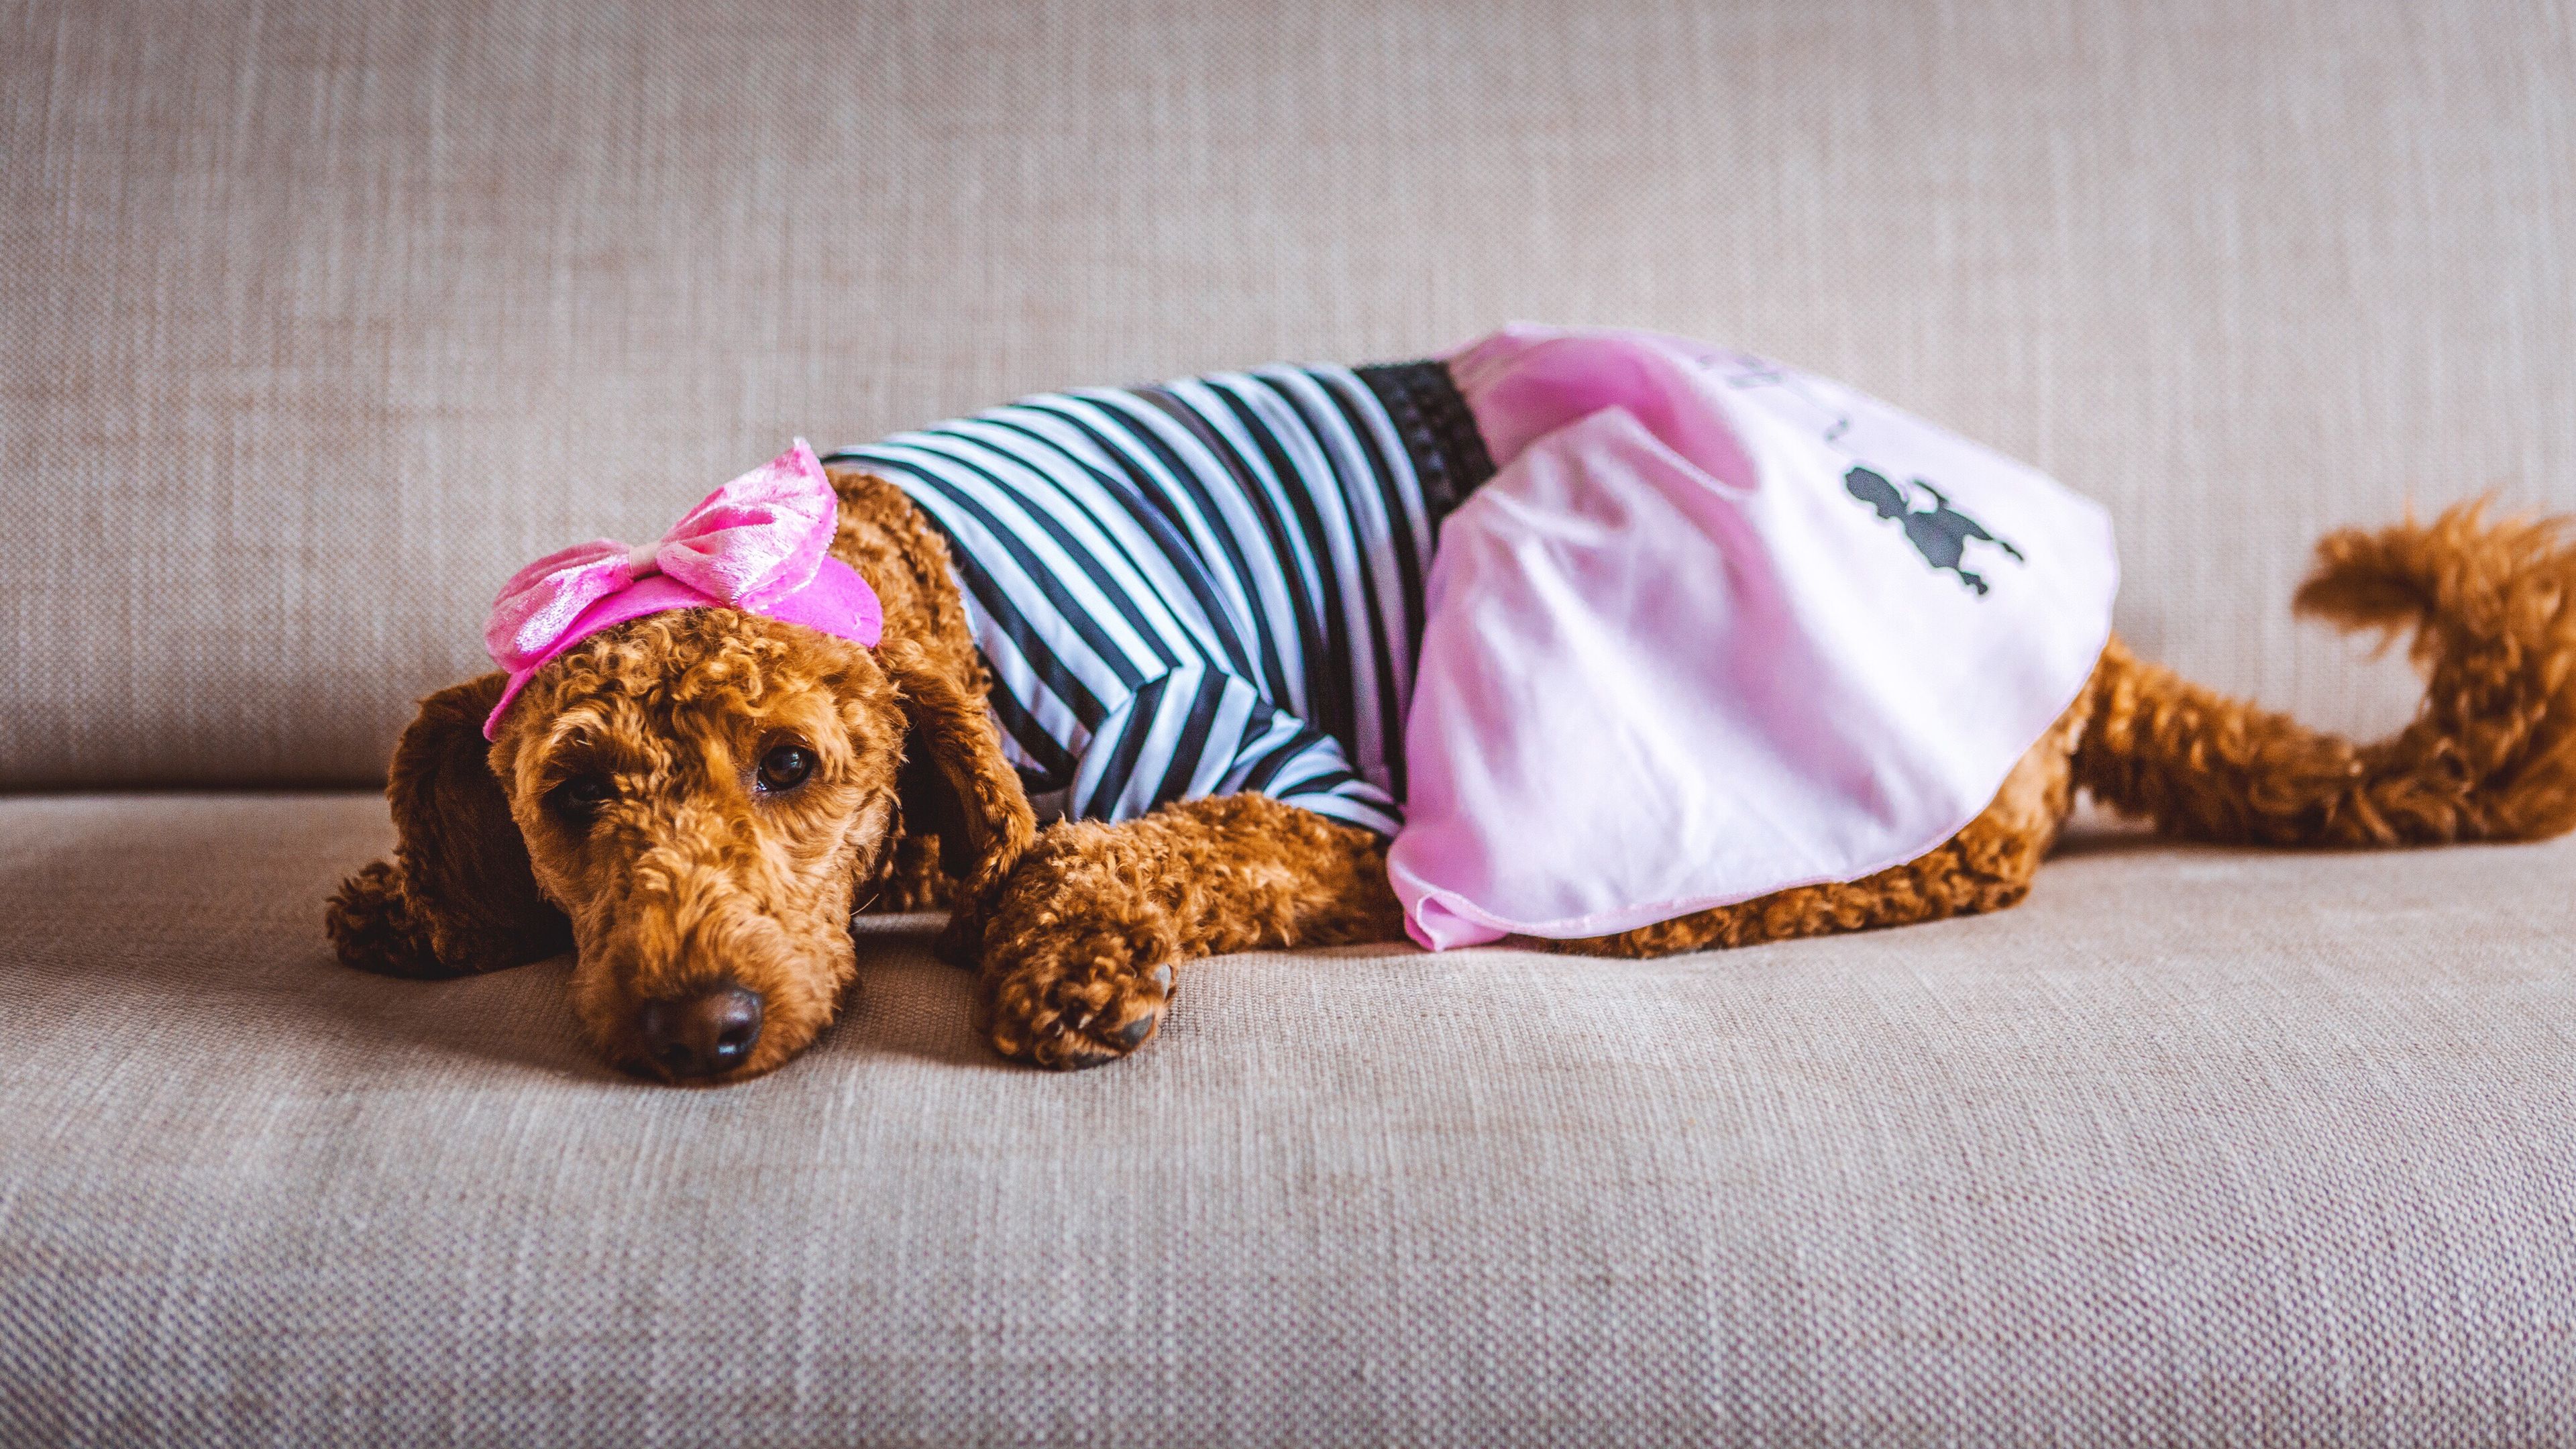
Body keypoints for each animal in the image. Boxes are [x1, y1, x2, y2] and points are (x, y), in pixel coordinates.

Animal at [332, 347, 2576, 1083]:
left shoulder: (1303, 799)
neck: (898, 555)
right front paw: (415, 899)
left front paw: (1053, 949)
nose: (694, 1030)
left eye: (792, 767)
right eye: (573, 796)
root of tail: (2084, 638)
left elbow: (1080, 852)